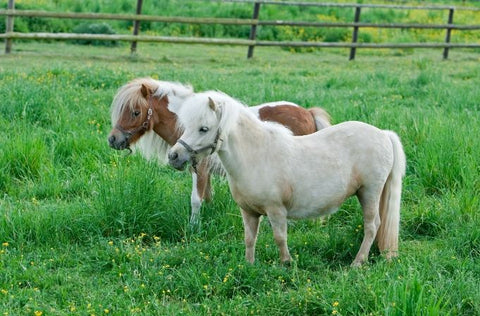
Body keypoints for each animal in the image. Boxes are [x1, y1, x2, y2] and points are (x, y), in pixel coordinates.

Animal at [108, 77, 330, 223]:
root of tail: (308, 112)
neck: (187, 123)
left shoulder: (200, 168)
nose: (113, 139)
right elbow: (206, 198)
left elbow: (195, 200)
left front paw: (193, 227)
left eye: (136, 112)